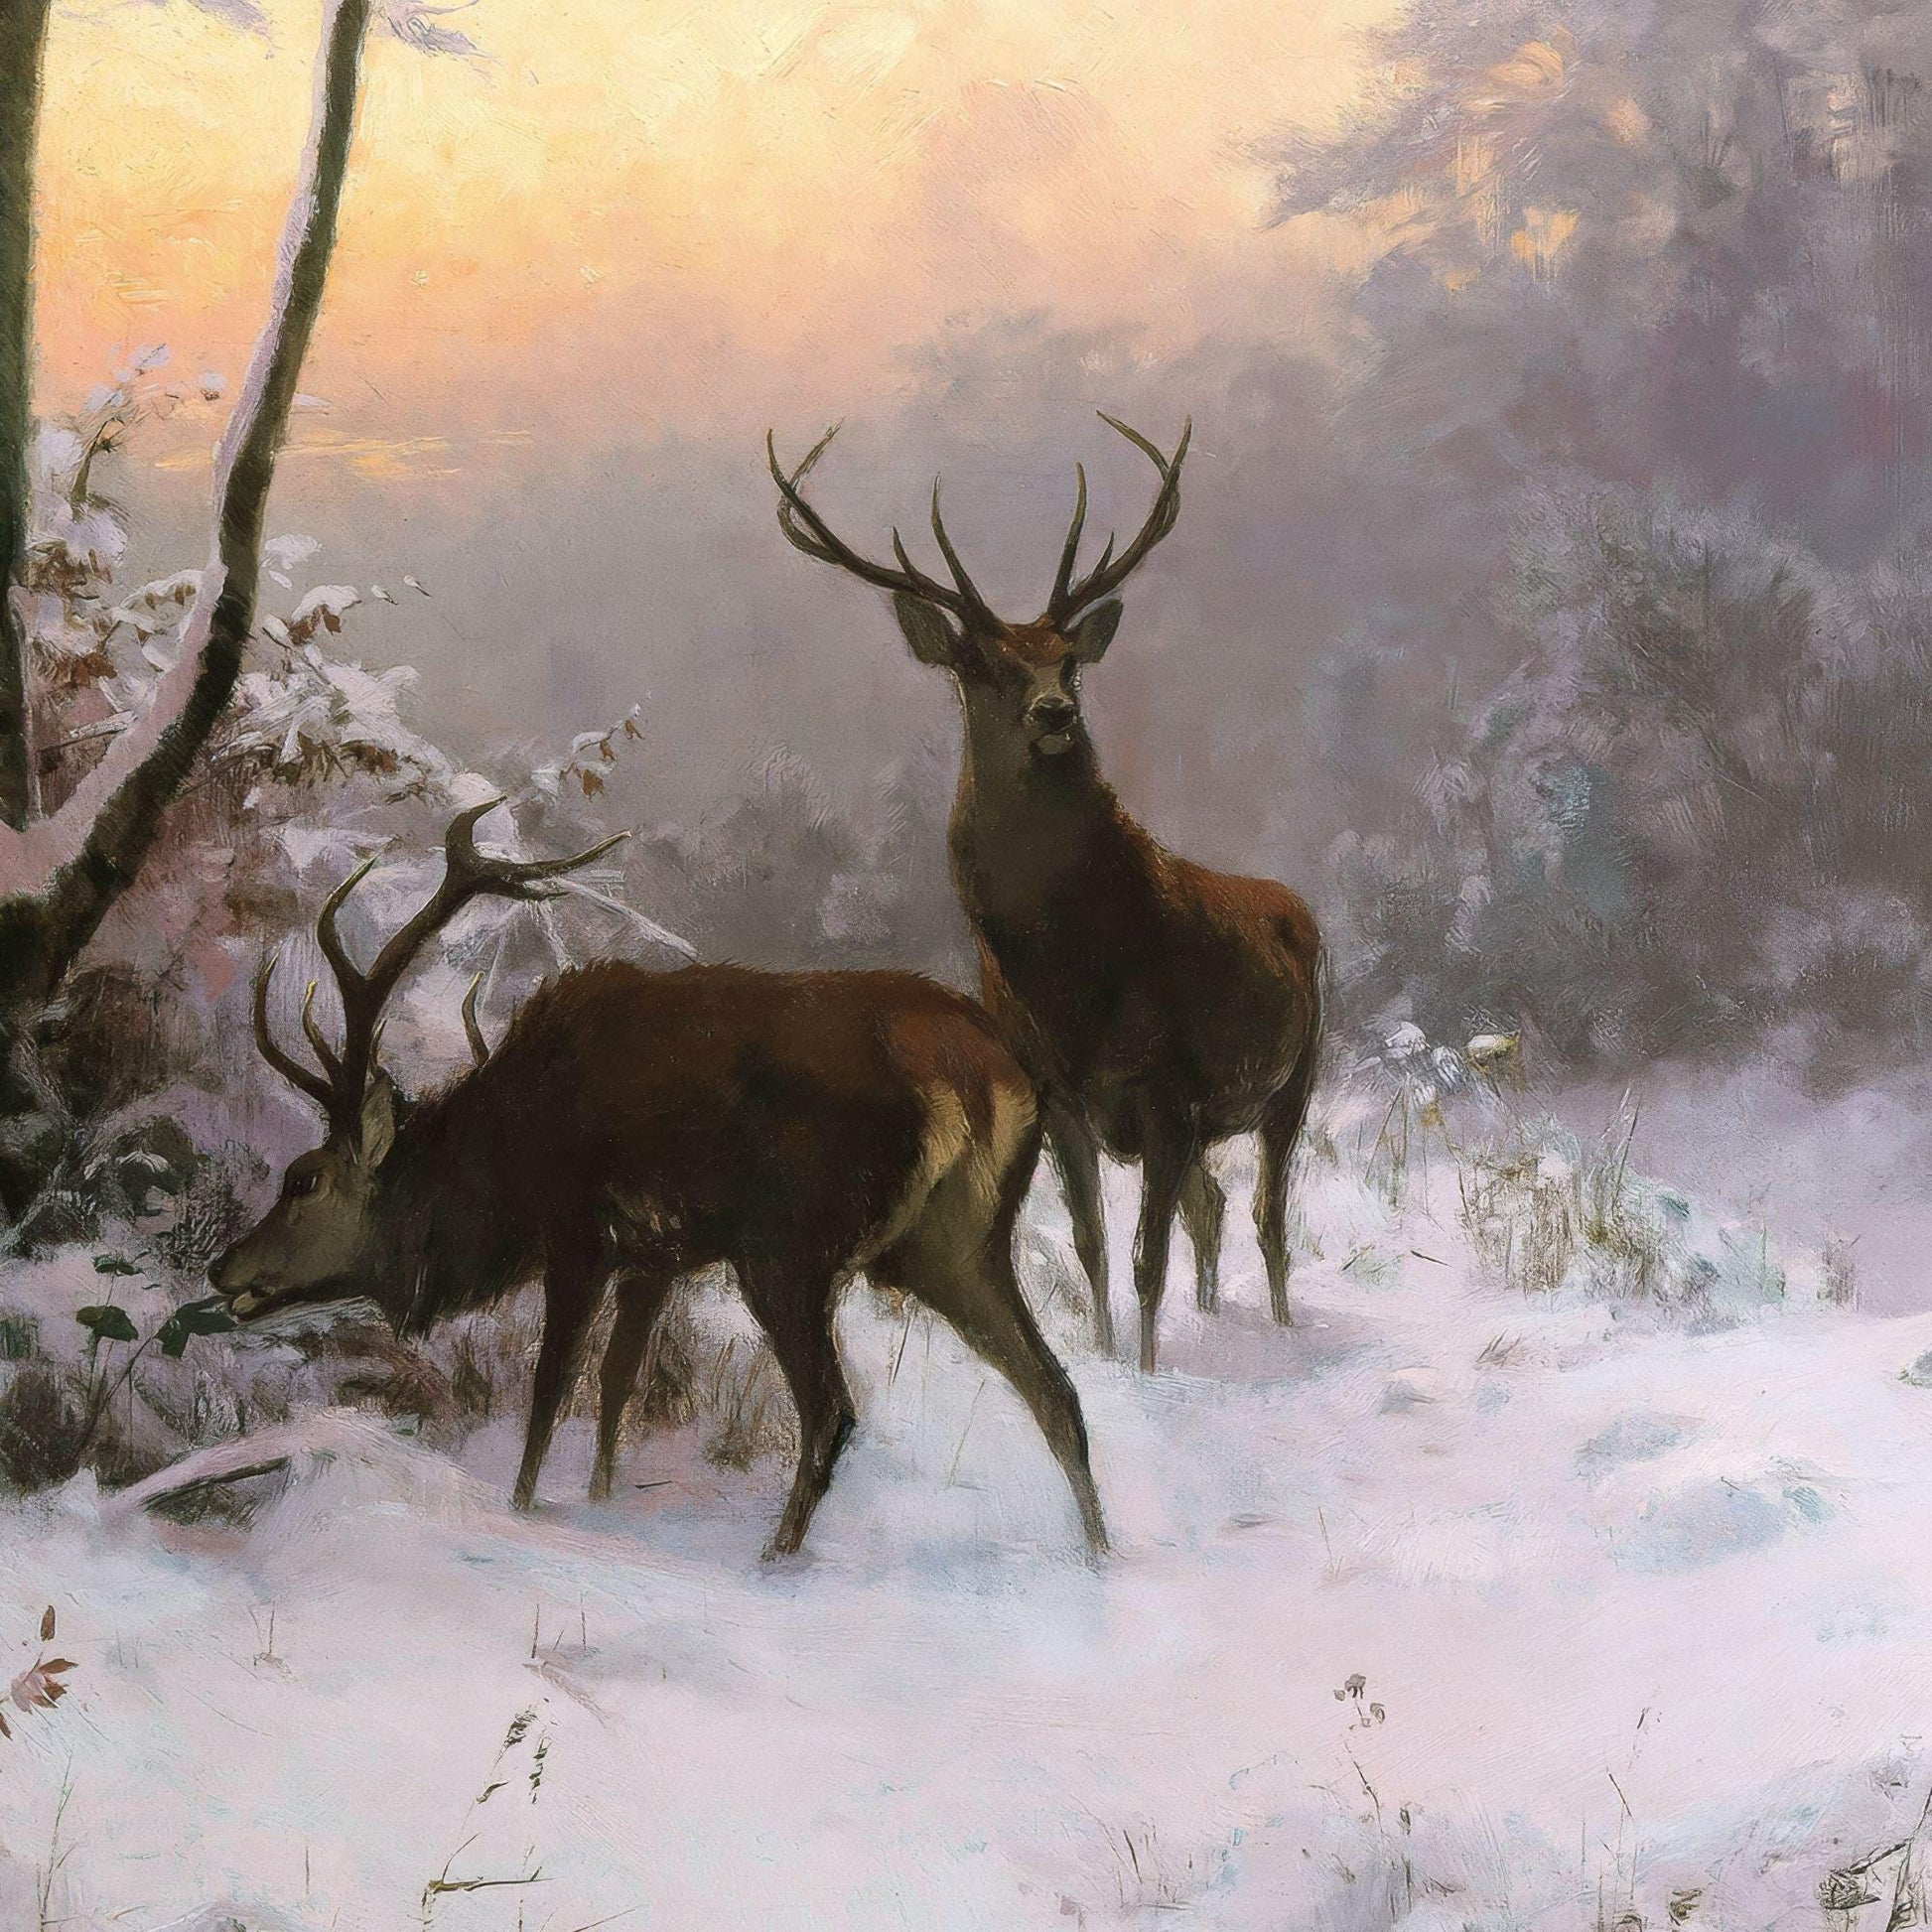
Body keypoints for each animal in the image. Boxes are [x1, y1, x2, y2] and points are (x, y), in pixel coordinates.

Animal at [209, 800, 1108, 1560]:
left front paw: (523, 1510)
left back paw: (776, 1558)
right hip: (956, 1243)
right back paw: (1098, 1555)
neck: (504, 1163)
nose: (223, 1267)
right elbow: (615, 1385)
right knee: (1056, 1392)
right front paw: (602, 1499)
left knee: (832, 1411)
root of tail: (982, 1069)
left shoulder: (578, 1233)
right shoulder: (656, 1256)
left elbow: (551, 1387)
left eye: (305, 1180)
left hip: (790, 1247)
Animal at [769, 415, 1322, 1374]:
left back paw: (1283, 1327)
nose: (1056, 713)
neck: (1073, 976)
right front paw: (1108, 1356)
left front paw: (1148, 1371)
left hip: (1298, 1077)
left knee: (1267, 1217)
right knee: (1216, 1210)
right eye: (982, 664)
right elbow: (1095, 1246)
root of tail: (1299, 911)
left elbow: (1145, 1259)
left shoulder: (1167, 1087)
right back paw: (1219, 1318)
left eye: (1068, 660)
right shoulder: (1062, 1093)